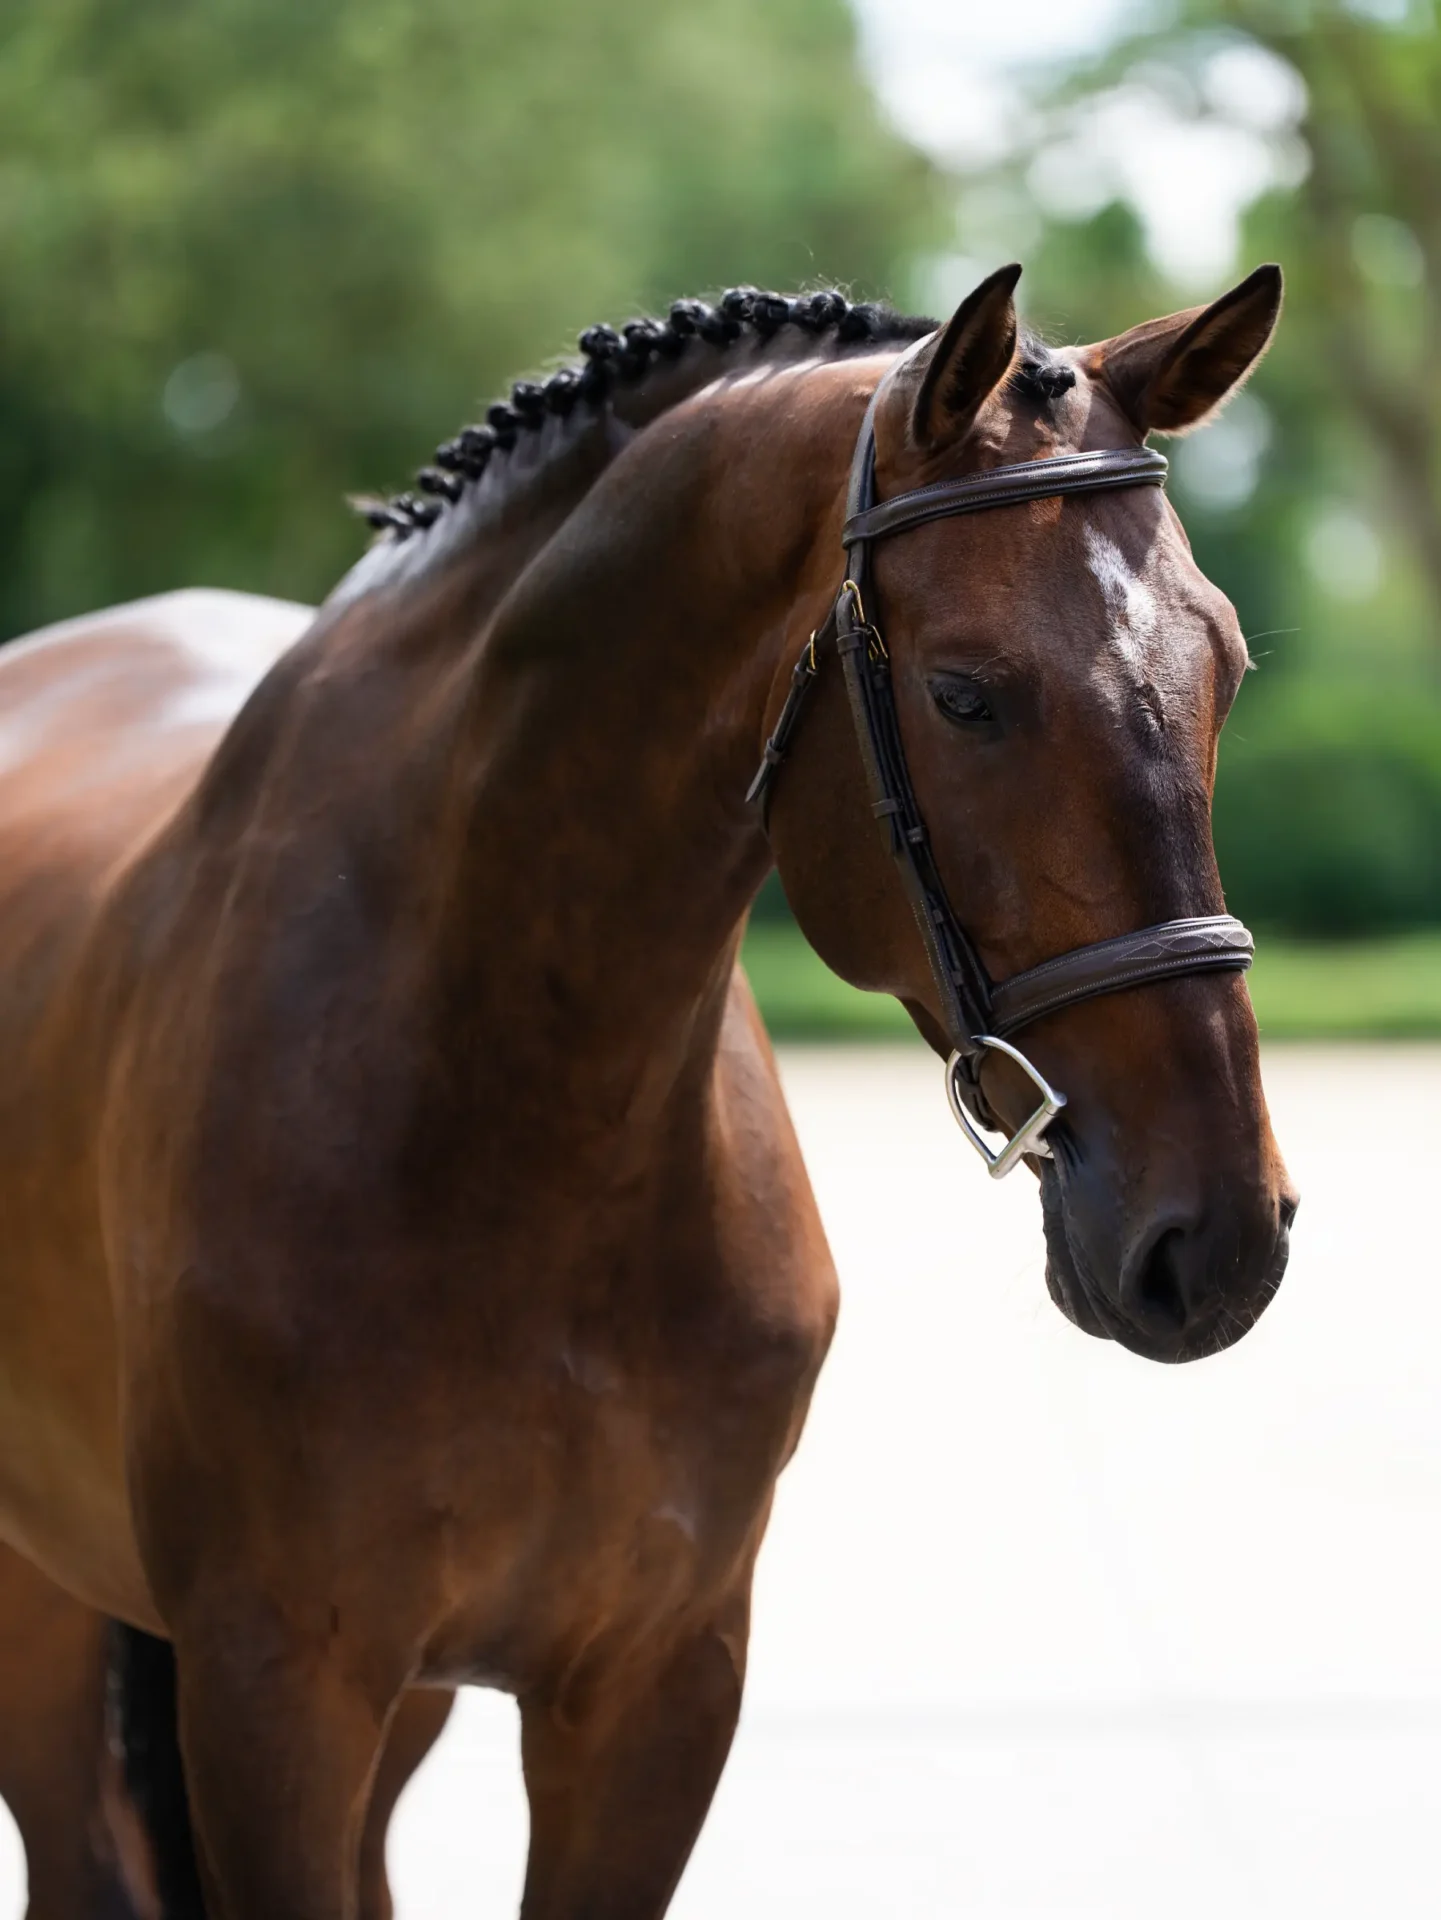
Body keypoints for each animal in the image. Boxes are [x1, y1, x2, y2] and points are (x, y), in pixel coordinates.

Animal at [0, 263, 1296, 1919]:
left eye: (1224, 667)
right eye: (965, 695)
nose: (1220, 1241)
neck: (518, 1115)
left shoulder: (653, 1689)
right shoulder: (271, 1690)